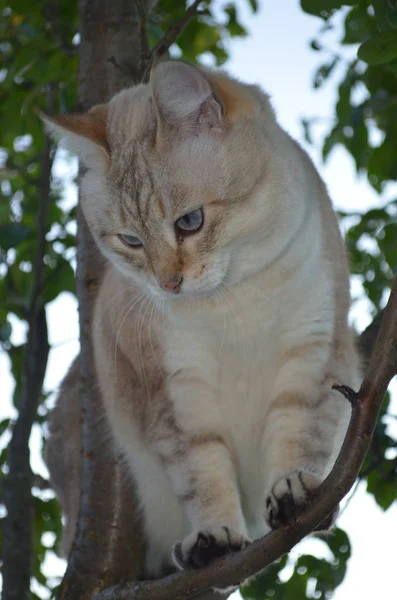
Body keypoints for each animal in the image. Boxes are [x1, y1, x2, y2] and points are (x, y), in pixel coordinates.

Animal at [44, 59, 360, 576]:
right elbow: (204, 475)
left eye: (189, 222)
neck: (235, 302)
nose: (168, 284)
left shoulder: (314, 352)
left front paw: (296, 493)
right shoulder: (176, 394)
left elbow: (301, 435)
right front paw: (215, 539)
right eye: (130, 241)